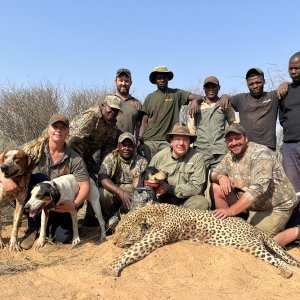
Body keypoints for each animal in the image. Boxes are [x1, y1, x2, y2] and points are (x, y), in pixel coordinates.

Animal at [105, 203, 300, 278]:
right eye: (116, 230)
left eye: (124, 232)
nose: (113, 243)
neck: (152, 214)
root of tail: (255, 228)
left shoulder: (155, 237)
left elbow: (131, 251)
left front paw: (110, 268)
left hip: (249, 245)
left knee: (277, 259)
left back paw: (286, 272)